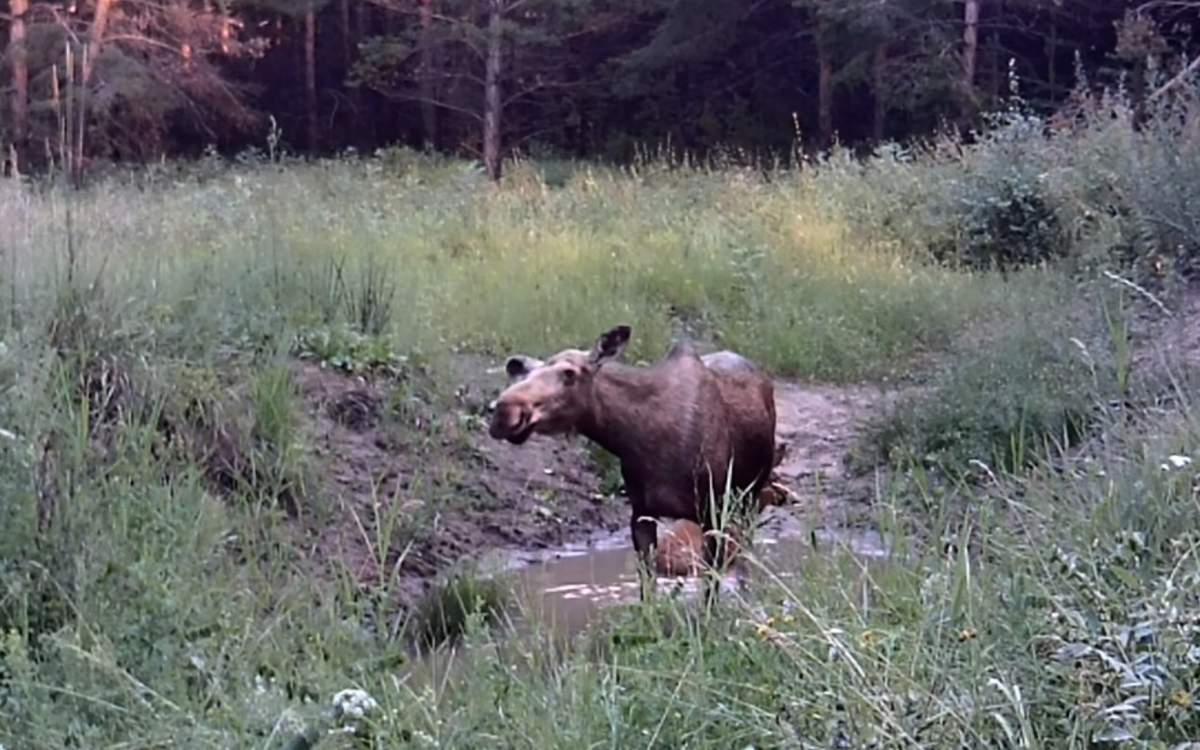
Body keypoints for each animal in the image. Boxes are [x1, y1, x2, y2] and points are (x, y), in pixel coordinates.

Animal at [487, 324, 777, 600]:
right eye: (524, 375)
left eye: (569, 373)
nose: (504, 412)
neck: (635, 437)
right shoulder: (641, 513)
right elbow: (647, 588)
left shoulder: (713, 511)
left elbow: (711, 589)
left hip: (750, 496)